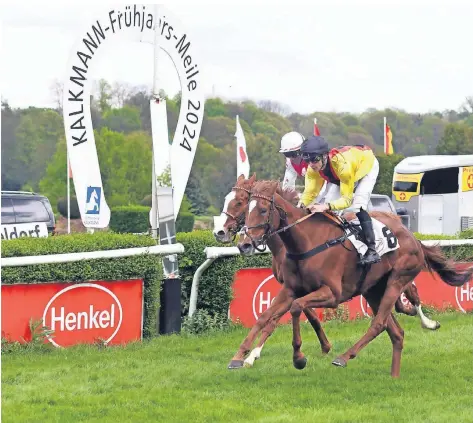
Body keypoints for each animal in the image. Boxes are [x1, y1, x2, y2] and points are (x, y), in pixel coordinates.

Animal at [240, 181, 472, 380]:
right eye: (245, 211)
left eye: (262, 210)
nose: (245, 244)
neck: (306, 242)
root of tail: (413, 237)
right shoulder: (290, 289)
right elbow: (266, 316)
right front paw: (242, 355)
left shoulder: (332, 294)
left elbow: (296, 308)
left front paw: (298, 358)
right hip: (373, 289)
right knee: (396, 331)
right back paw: (394, 375)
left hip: (398, 278)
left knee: (380, 322)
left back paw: (344, 357)